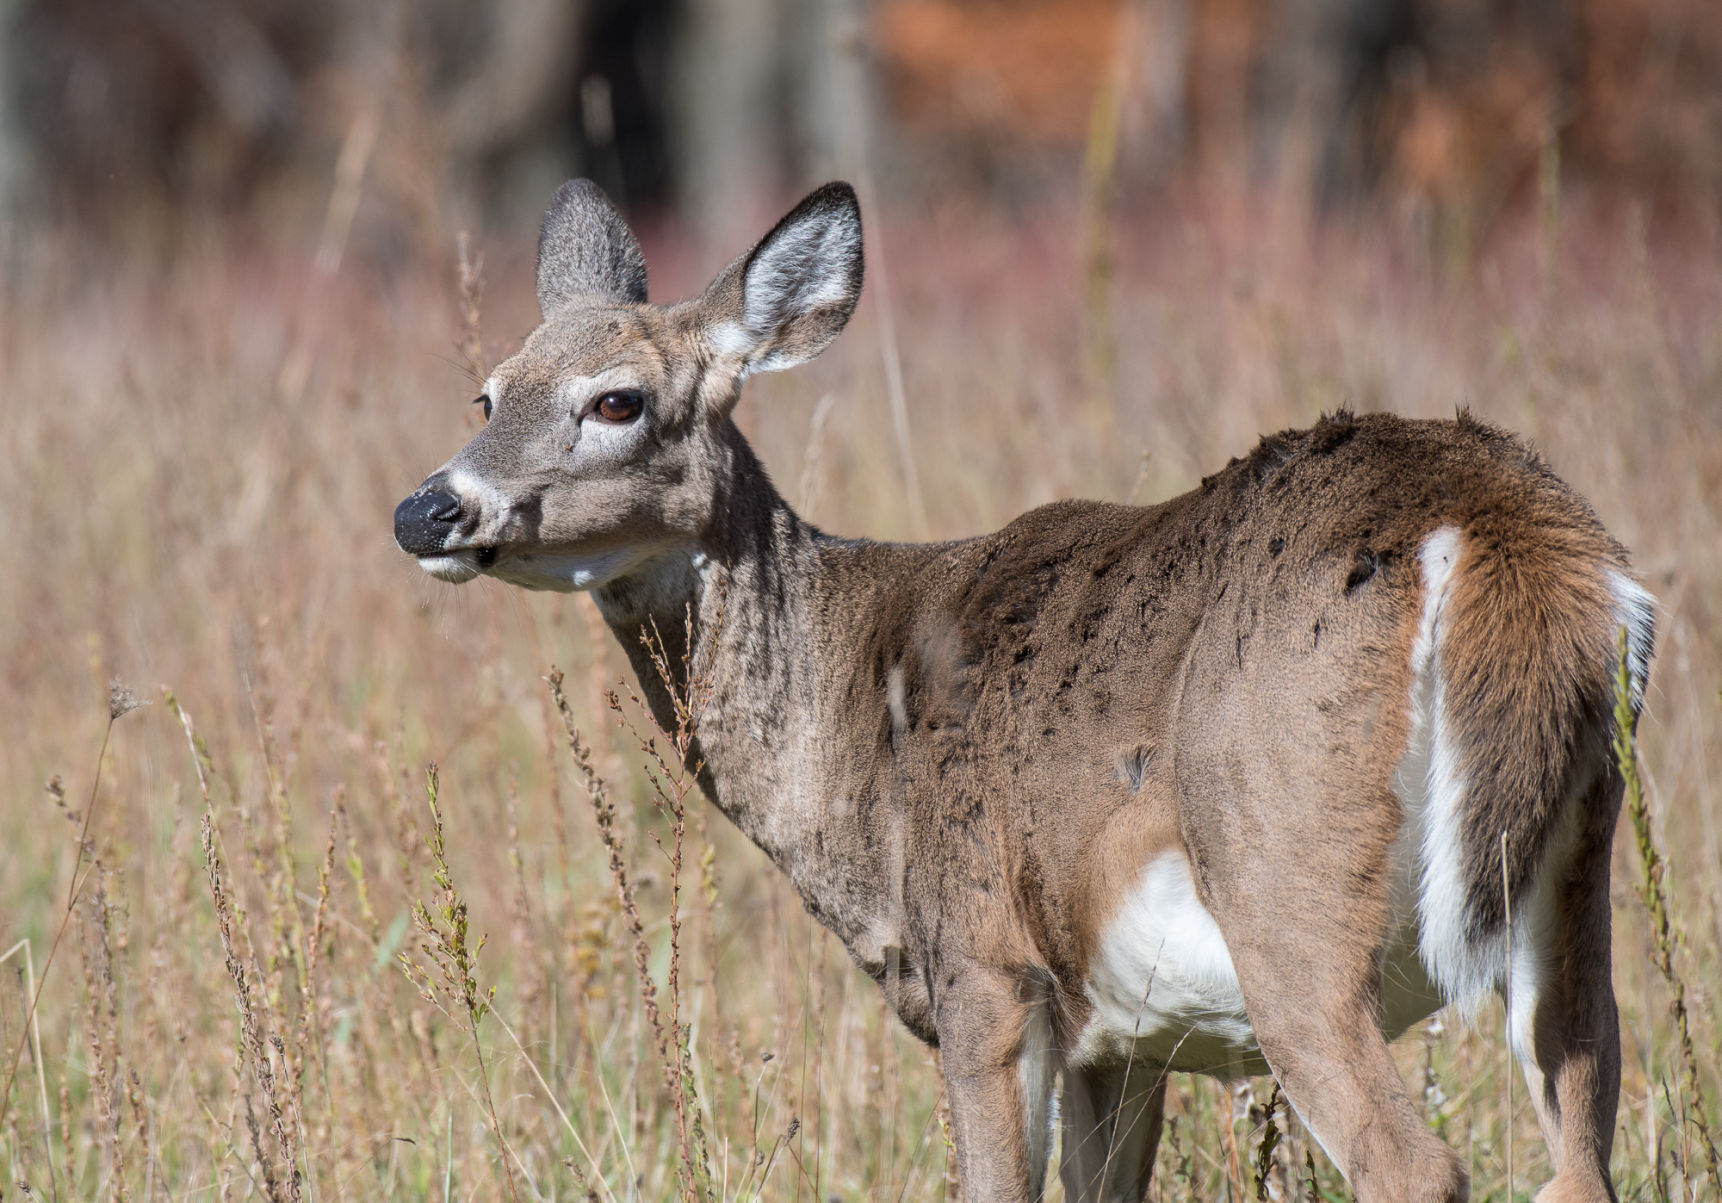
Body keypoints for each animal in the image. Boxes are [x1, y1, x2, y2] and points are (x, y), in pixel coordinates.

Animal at [396, 178, 1646, 1203]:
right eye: (488, 392)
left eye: (618, 401)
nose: (426, 509)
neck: (853, 731)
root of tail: (1493, 521)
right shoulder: (1120, 1037)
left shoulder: (984, 965)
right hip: (1573, 873)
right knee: (1581, 1156)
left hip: (1284, 874)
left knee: (1417, 1165)